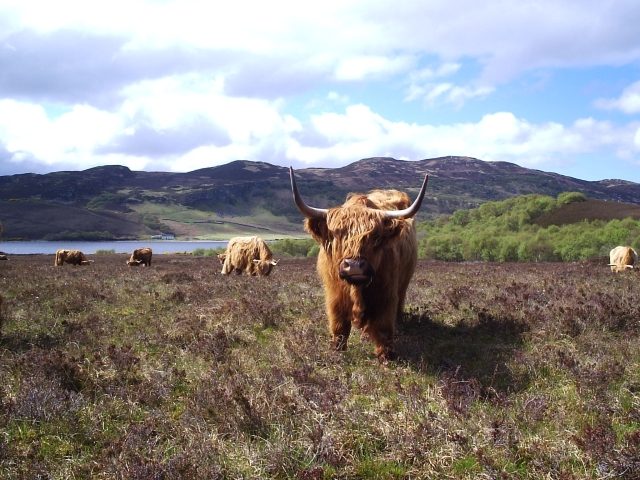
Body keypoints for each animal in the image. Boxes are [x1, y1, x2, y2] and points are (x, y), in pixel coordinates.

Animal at [290, 167, 429, 362]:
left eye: (375, 237)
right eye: (337, 235)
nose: (354, 266)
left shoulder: (386, 294)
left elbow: (384, 327)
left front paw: (386, 356)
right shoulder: (334, 295)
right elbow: (339, 326)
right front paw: (336, 352)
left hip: (403, 283)